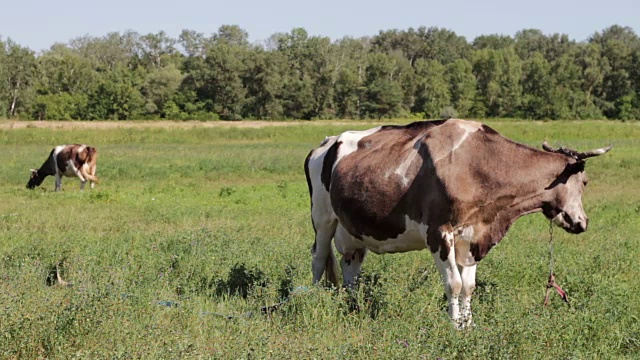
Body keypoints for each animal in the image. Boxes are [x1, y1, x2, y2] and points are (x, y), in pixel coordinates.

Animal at [302, 119, 612, 328]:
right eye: (585, 182)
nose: (582, 222)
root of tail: (326, 143)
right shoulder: (439, 234)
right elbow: (453, 284)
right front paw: (453, 327)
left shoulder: (473, 236)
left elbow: (468, 286)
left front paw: (468, 325)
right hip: (322, 216)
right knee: (318, 258)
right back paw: (314, 299)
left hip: (353, 227)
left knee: (350, 265)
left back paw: (354, 306)